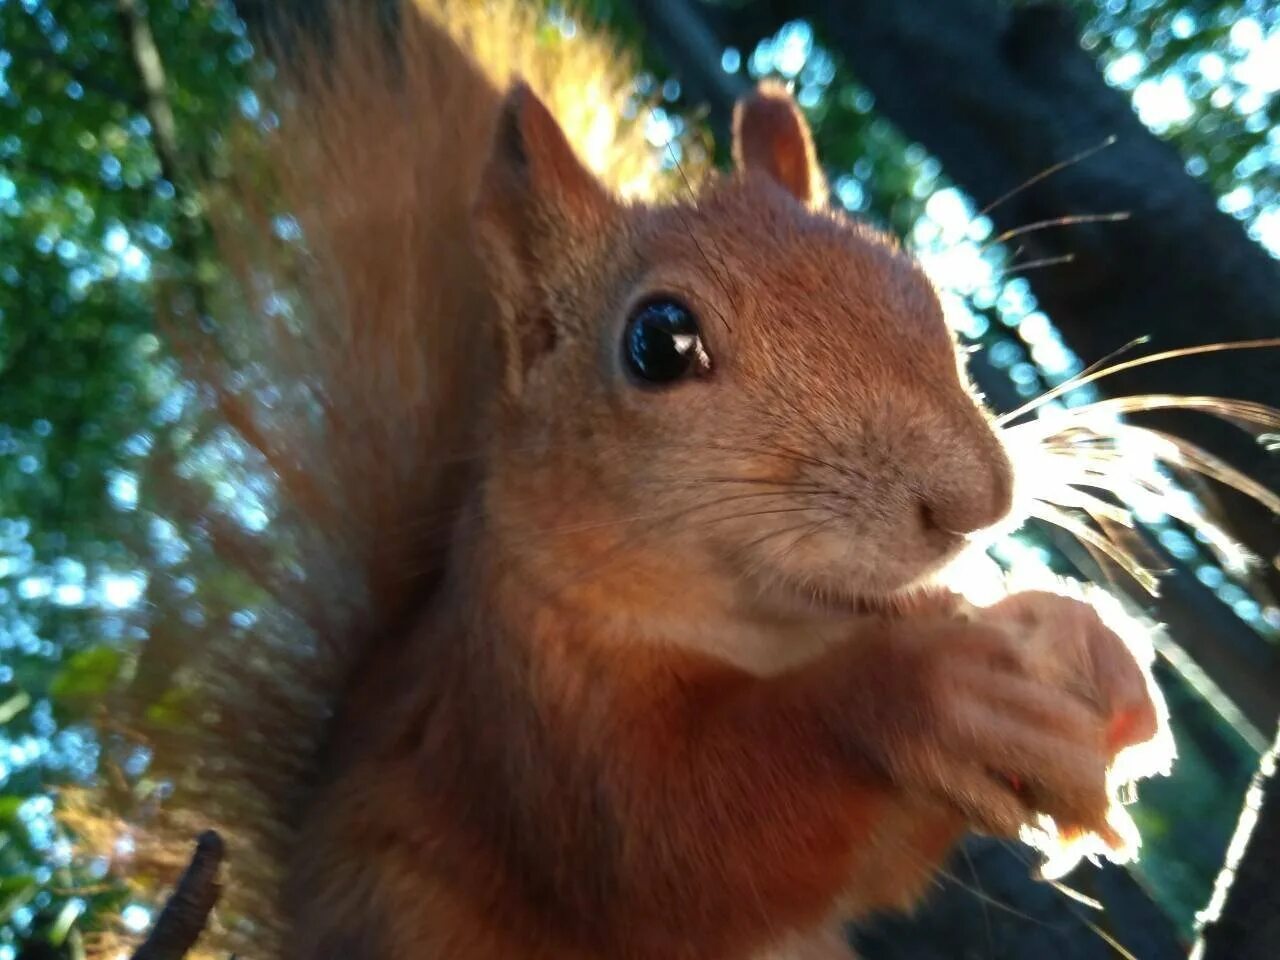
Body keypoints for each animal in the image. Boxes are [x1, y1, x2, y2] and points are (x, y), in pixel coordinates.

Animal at [92, 1, 1172, 960]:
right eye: (659, 342)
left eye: (912, 281)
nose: (976, 502)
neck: (760, 630)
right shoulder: (532, 717)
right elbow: (676, 849)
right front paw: (932, 689)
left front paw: (1094, 648)